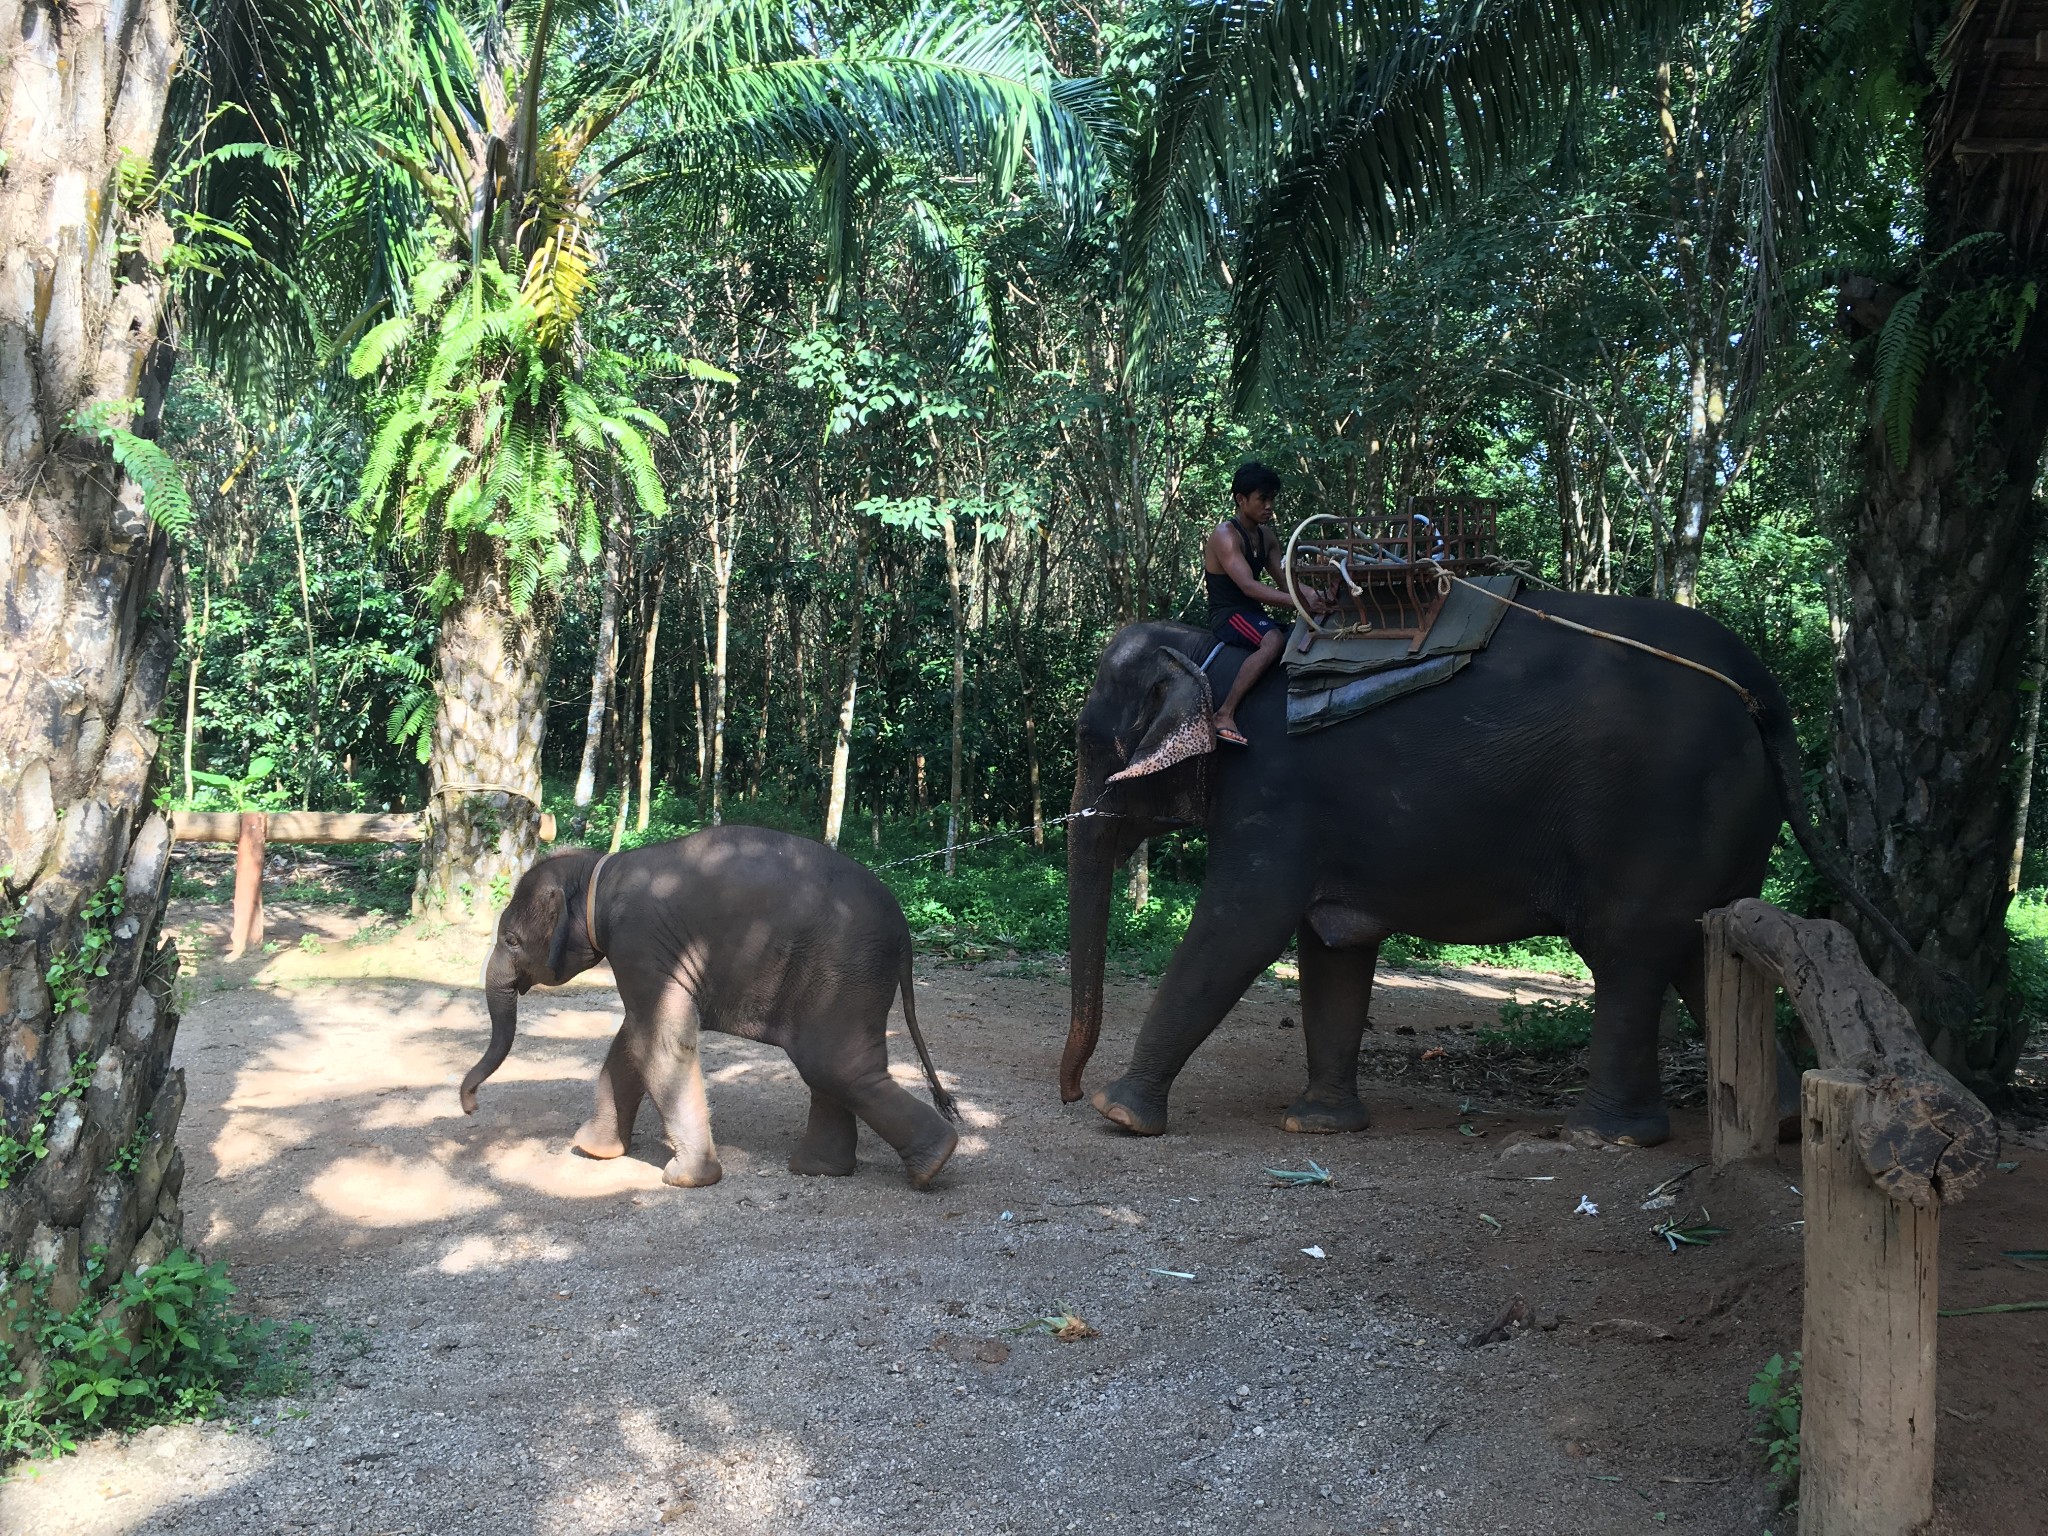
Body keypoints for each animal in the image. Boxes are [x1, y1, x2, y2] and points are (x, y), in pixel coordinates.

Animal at [468, 831, 962, 1187]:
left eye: (511, 940)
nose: (470, 1106)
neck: (598, 871)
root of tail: (905, 932)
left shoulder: (638, 941)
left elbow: (660, 1039)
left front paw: (685, 1180)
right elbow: (634, 1036)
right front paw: (594, 1150)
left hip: (844, 970)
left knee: (834, 1067)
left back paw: (933, 1162)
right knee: (832, 1069)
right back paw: (822, 1169)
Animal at [1064, 593, 1941, 1146]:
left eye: (1088, 742)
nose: (1067, 1091)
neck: (1217, 657)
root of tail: (1760, 687)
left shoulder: (1274, 799)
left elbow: (1238, 928)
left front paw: (1120, 1115)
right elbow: (1334, 948)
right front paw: (1314, 1125)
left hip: (1661, 809)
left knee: (1630, 952)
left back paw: (1604, 1138)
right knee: (1701, 947)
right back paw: (1784, 1124)